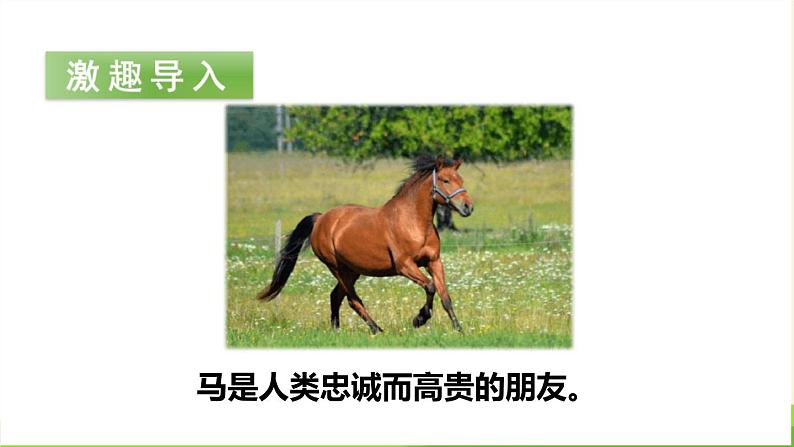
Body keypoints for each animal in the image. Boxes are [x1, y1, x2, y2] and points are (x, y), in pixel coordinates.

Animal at [255, 155, 474, 334]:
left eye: (461, 180)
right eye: (446, 180)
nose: (468, 207)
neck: (413, 222)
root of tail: (320, 219)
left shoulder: (434, 262)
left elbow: (445, 297)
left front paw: (459, 329)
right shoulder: (404, 266)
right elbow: (430, 286)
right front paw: (419, 319)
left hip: (351, 270)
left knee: (335, 296)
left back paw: (337, 330)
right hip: (337, 268)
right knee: (352, 300)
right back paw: (376, 329)